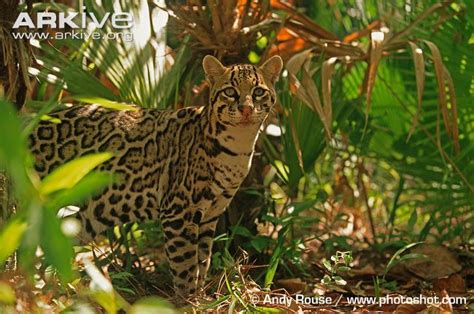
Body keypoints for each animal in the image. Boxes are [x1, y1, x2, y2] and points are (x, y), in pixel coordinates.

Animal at [30, 55, 282, 298]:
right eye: (230, 91)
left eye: (258, 92)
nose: (246, 109)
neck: (238, 146)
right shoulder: (178, 212)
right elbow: (185, 264)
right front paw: (188, 300)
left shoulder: (210, 215)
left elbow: (202, 260)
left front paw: (200, 296)